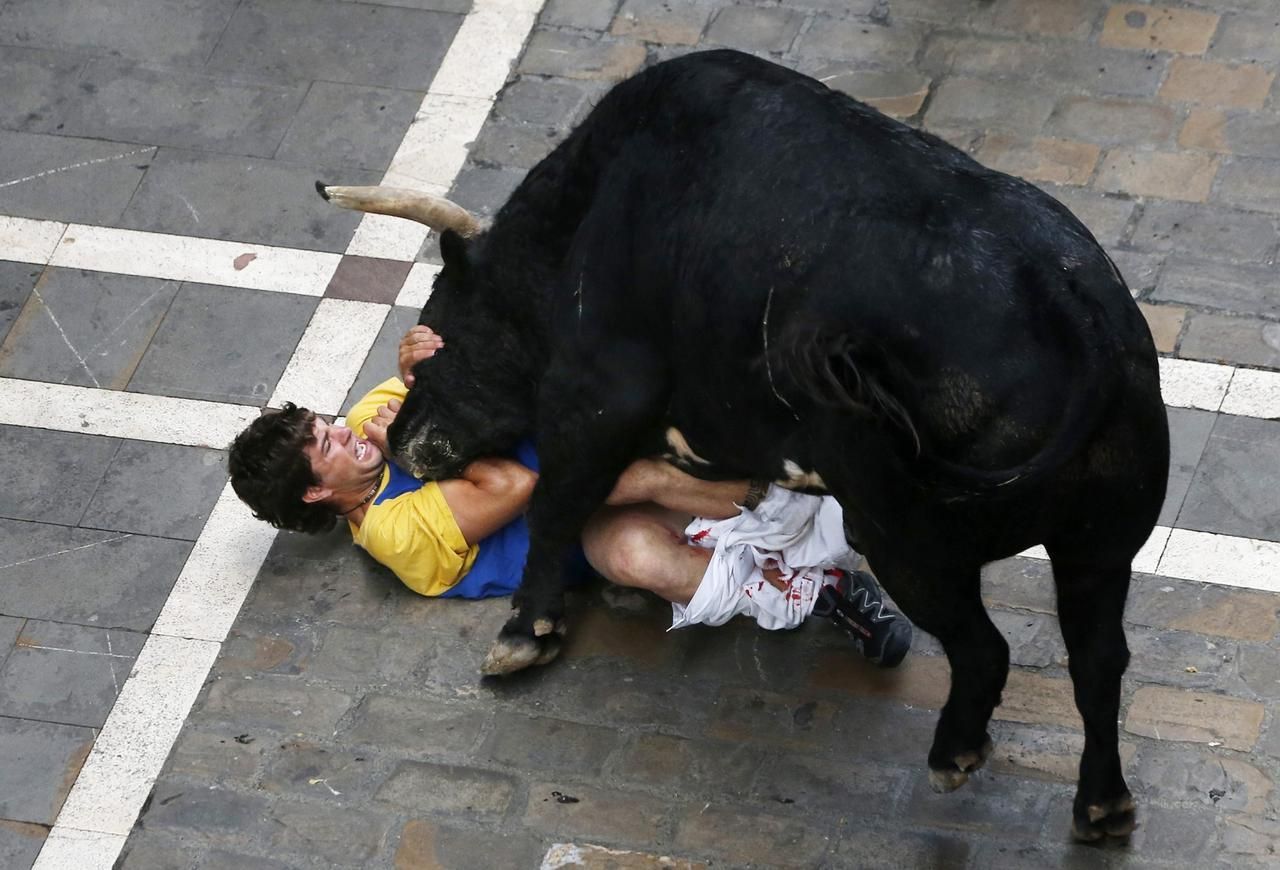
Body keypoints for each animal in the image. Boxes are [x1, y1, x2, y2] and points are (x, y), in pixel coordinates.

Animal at [320, 50, 1172, 839]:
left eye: (440, 325)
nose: (400, 438)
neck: (585, 217)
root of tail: (1077, 308)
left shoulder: (594, 397)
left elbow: (556, 506)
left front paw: (523, 635)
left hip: (911, 542)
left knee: (985, 648)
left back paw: (954, 755)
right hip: (1097, 546)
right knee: (1099, 660)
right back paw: (1102, 806)